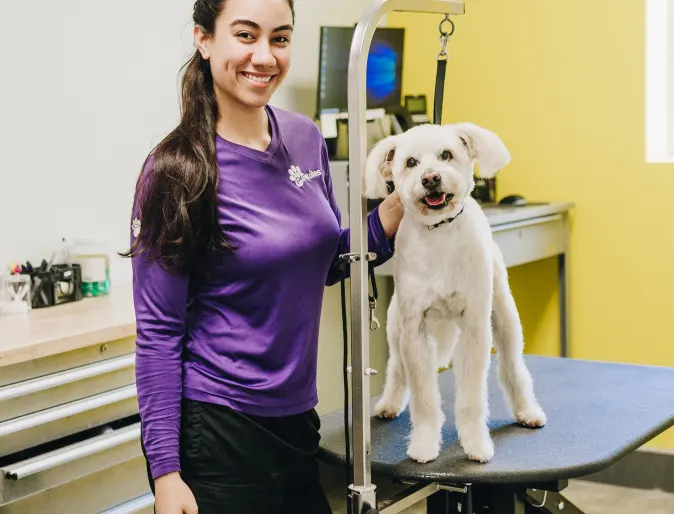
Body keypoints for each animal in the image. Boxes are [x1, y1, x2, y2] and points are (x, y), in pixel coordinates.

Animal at [362, 122, 544, 462]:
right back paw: (389, 404)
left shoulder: (474, 326)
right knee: (397, 369)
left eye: (446, 155)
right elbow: (423, 397)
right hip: (395, 327)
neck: (439, 232)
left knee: (513, 368)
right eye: (410, 162)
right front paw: (423, 444)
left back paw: (527, 411)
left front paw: (475, 444)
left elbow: (472, 397)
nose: (431, 178)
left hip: (504, 317)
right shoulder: (414, 329)